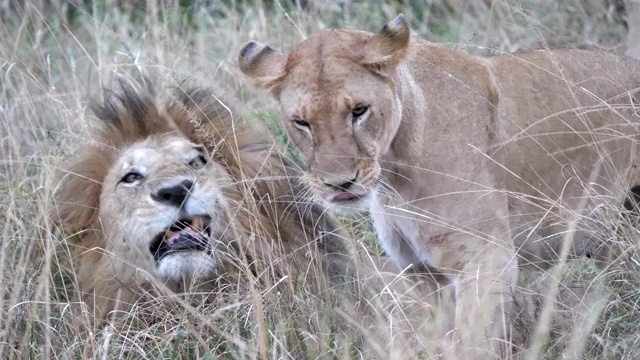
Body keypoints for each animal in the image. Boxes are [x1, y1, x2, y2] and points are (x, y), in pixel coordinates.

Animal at [238, 16, 640, 358]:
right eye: (302, 122)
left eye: (359, 111)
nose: (340, 183)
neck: (395, 178)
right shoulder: (421, 272)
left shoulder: (487, 260)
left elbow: (472, 346)